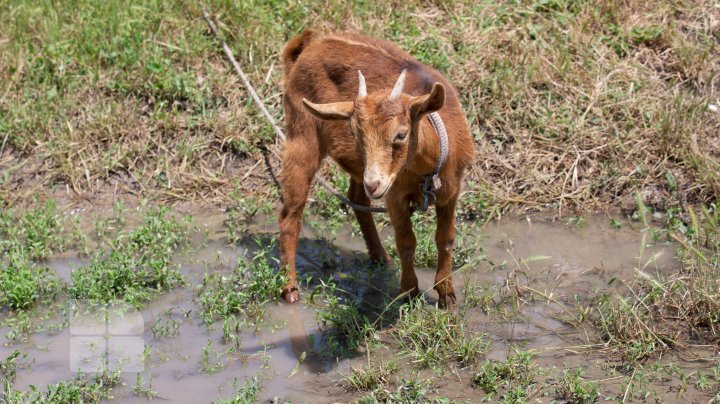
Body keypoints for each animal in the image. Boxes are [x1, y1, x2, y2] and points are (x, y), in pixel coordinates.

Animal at [278, 29, 472, 306]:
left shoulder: (452, 191)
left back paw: (380, 256)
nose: (375, 183)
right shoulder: (395, 195)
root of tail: (309, 44)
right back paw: (290, 288)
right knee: (290, 215)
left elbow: (446, 239)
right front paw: (409, 292)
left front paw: (447, 295)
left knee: (357, 198)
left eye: (401, 134)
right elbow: (406, 241)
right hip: (301, 133)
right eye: (355, 134)